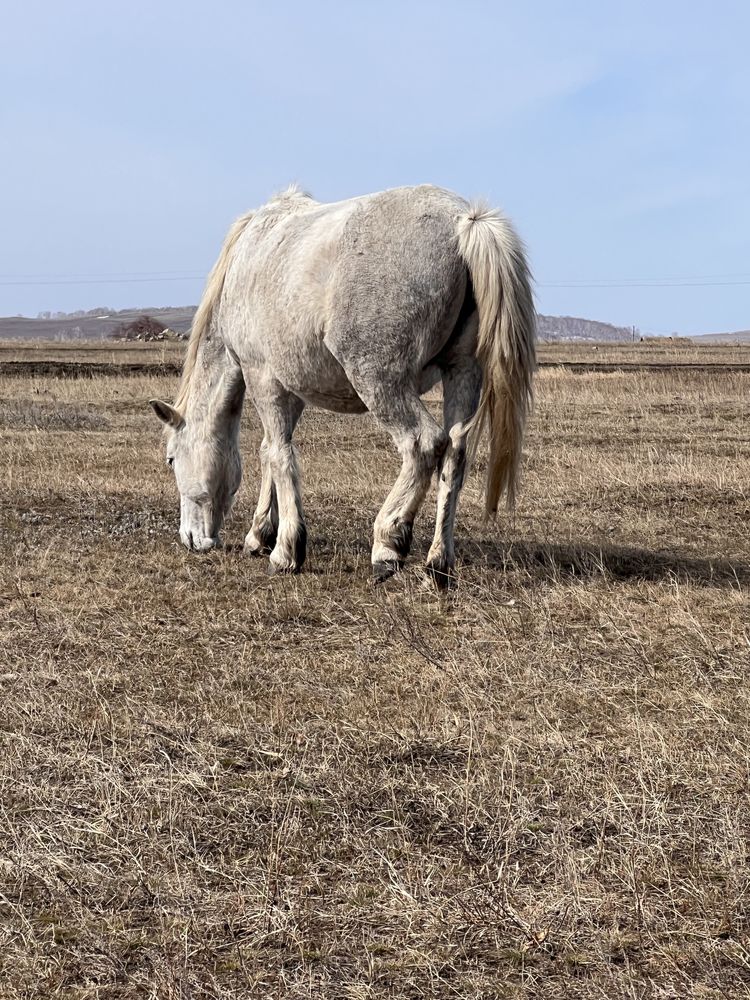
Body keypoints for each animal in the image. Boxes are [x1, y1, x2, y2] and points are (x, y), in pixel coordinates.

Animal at [151, 186, 536, 584]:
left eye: (170, 459)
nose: (190, 539)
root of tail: (463, 221)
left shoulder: (263, 377)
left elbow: (278, 453)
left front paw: (285, 550)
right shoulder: (292, 387)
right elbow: (269, 449)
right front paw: (260, 534)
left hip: (380, 381)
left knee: (423, 445)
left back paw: (388, 543)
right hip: (462, 371)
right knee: (455, 454)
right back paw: (437, 563)